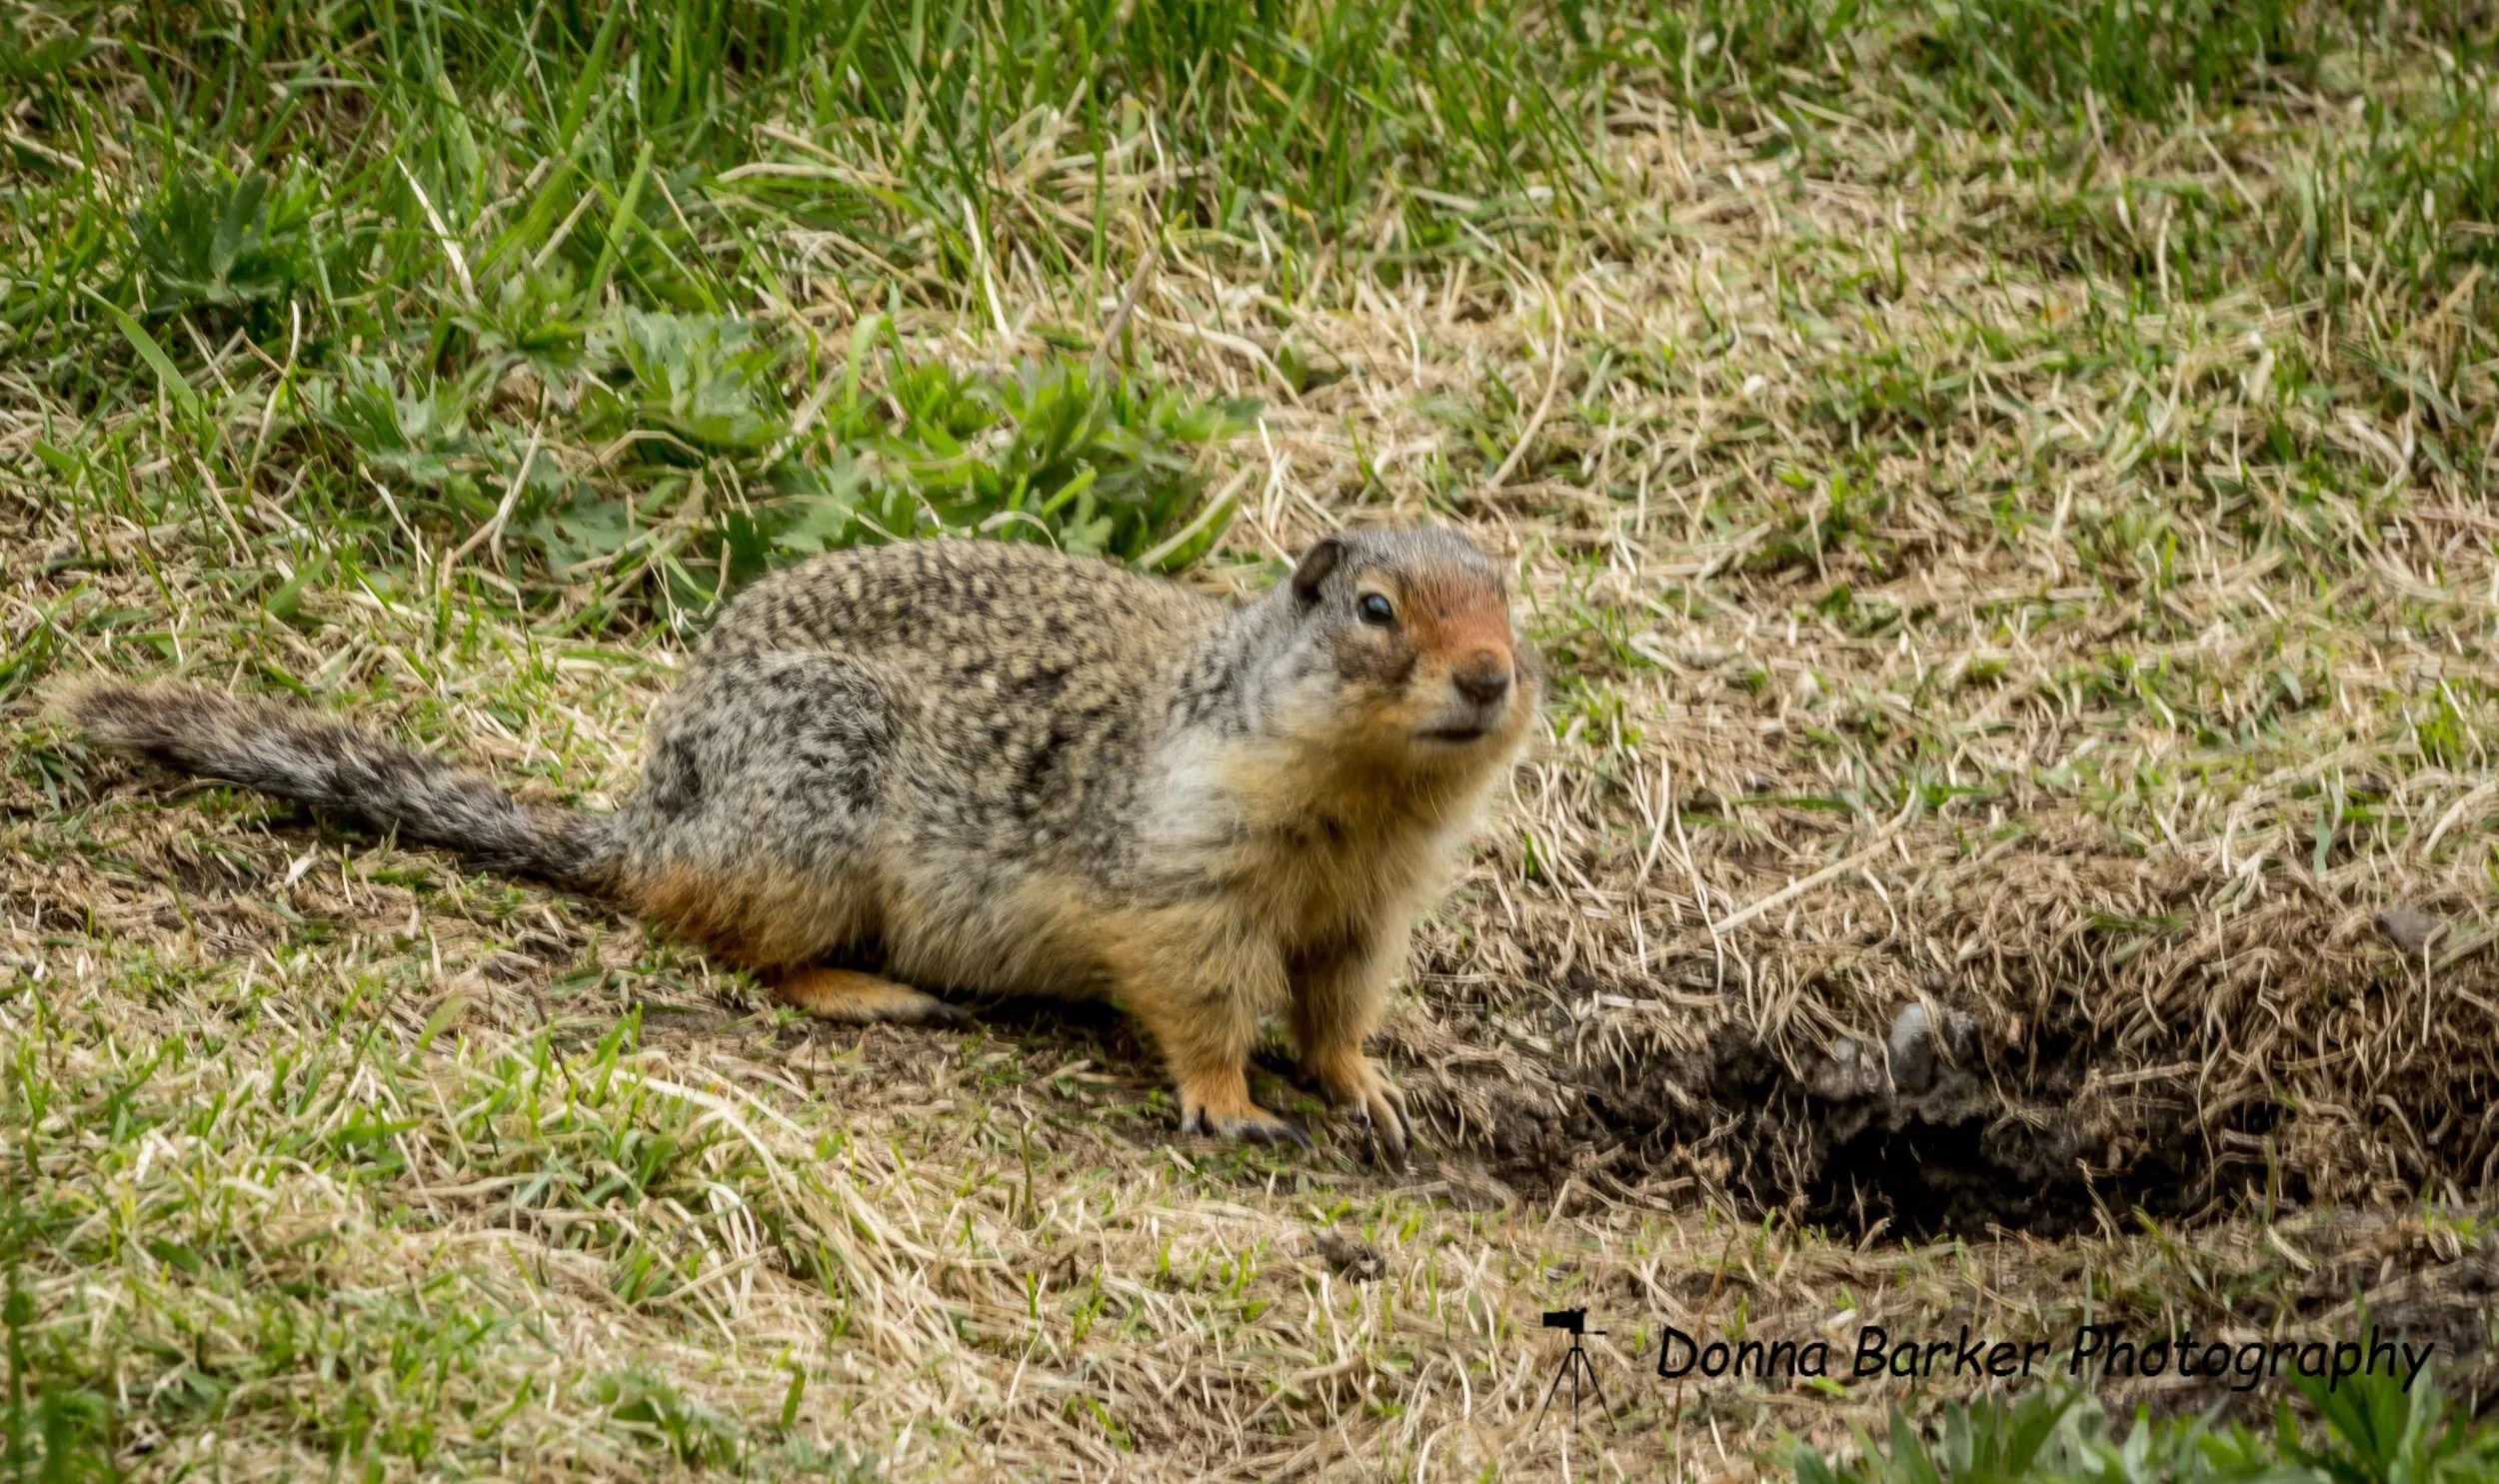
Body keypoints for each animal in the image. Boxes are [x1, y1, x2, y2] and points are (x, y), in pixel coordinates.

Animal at [66, 528, 1538, 1156]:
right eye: (1374, 606)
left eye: (1510, 599)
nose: (1490, 676)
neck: (1367, 801)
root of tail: (649, 817)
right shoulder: (1191, 867)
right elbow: (1200, 993)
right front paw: (1232, 1103)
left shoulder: (1374, 901)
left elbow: (1339, 1000)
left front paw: (1369, 1087)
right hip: (816, 801)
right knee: (730, 941)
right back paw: (872, 990)